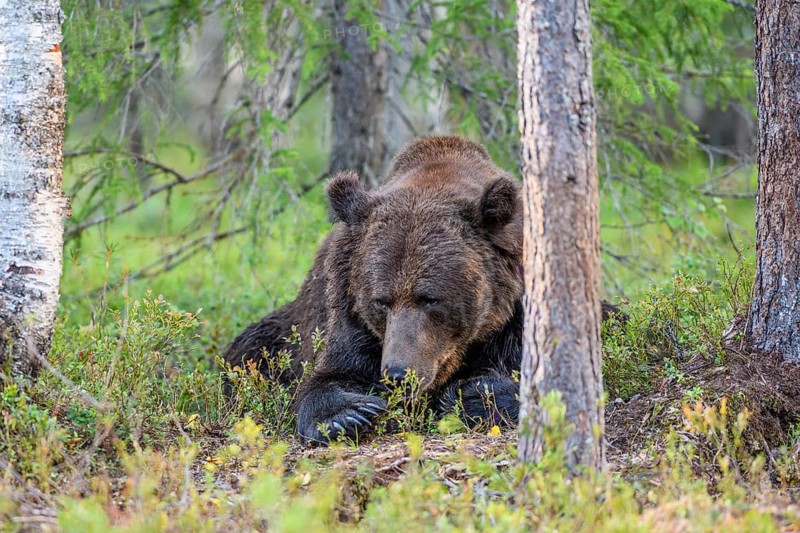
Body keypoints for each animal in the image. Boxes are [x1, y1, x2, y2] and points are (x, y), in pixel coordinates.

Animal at [225, 135, 618, 444]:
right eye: (381, 301)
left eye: (430, 298)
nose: (399, 373)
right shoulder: (347, 307)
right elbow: (329, 376)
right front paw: (350, 412)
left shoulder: (518, 309)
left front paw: (472, 395)